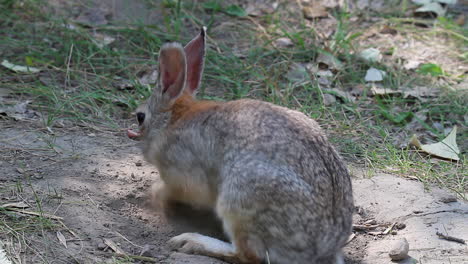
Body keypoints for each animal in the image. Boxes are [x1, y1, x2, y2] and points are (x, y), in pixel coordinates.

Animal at [126, 27, 352, 262]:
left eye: (140, 117)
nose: (133, 132)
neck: (172, 120)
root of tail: (324, 249)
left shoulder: (182, 173)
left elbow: (174, 190)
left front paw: (155, 195)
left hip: (240, 198)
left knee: (247, 254)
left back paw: (191, 241)